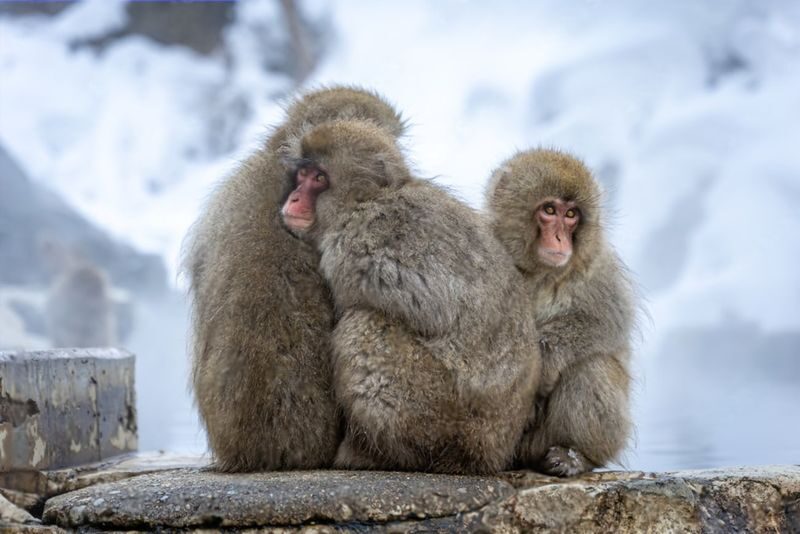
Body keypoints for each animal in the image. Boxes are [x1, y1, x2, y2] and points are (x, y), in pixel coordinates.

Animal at [280, 119, 541, 475]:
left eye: (319, 178)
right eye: (302, 175)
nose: (293, 198)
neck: (363, 202)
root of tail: (492, 452)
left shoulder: (354, 247)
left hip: (440, 414)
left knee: (363, 326)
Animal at [484, 148, 637, 477]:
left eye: (571, 215)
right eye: (550, 210)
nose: (559, 239)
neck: (539, 272)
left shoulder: (598, 266)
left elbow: (607, 322)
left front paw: (546, 359)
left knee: (591, 366)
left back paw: (575, 456)